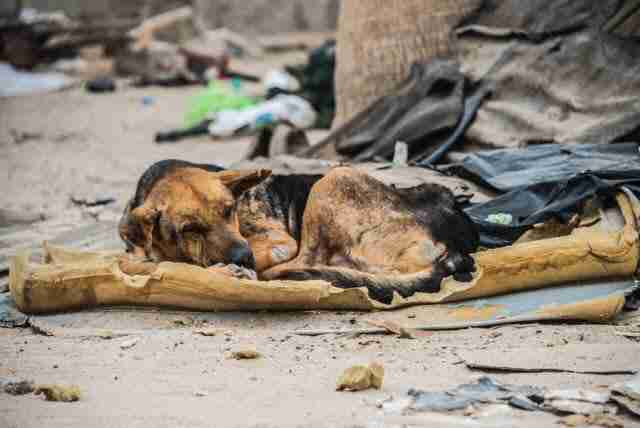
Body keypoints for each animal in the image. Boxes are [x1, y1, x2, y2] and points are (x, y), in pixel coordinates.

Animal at [119, 159, 480, 302]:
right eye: (190, 228)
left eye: (229, 210)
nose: (244, 258)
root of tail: (458, 245)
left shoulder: (278, 242)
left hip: (333, 178)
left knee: (304, 266)